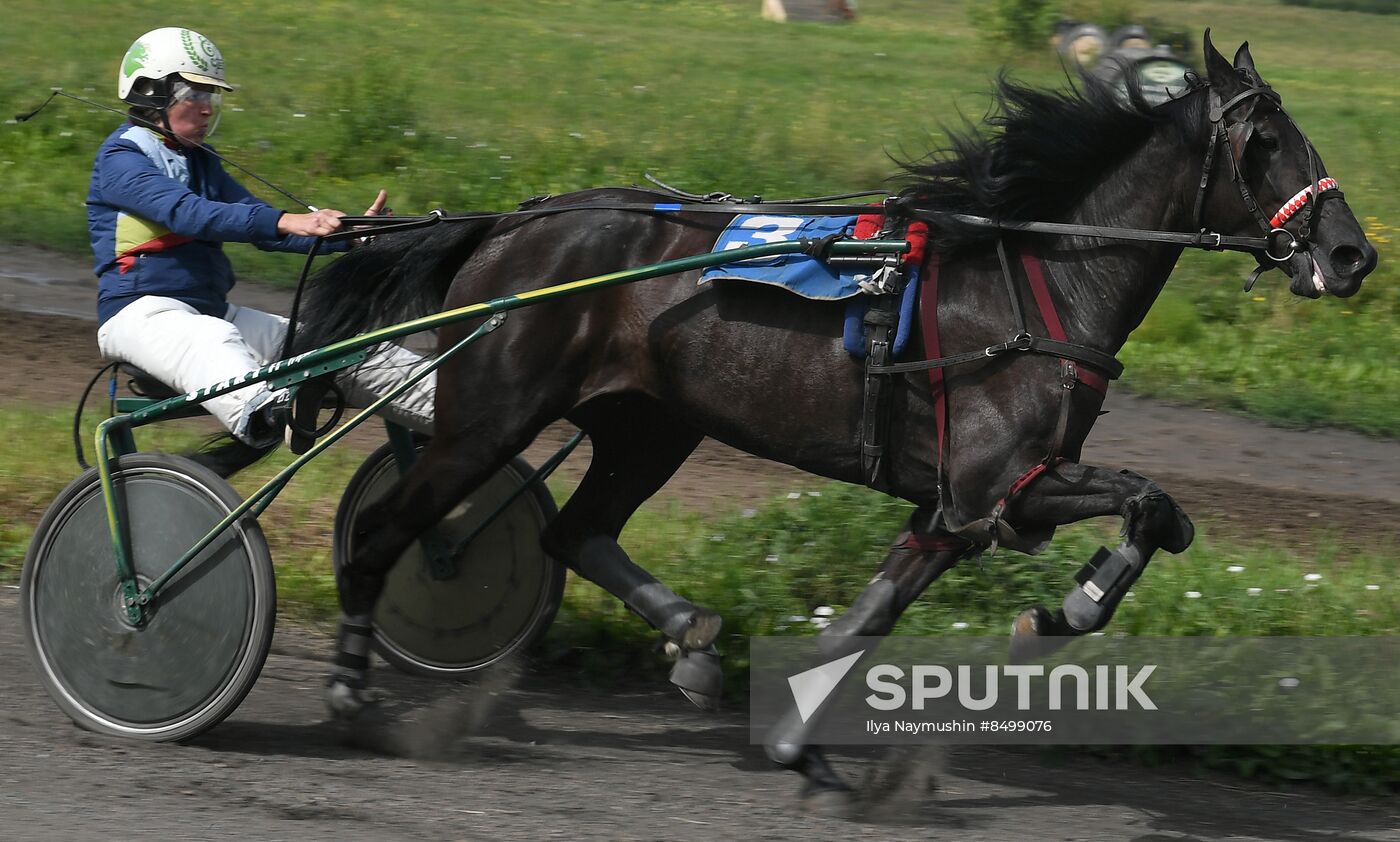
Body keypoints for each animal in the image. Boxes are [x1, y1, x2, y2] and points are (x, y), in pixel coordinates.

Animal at [289, 32, 1372, 806]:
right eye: (1263, 141)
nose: (1352, 253)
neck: (1037, 281)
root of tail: (511, 219)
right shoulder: (999, 486)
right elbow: (1148, 506)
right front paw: (1059, 613)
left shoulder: (952, 510)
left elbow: (881, 614)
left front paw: (799, 737)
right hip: (491, 416)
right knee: (388, 529)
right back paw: (350, 691)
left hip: (649, 424)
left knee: (575, 529)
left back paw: (690, 638)